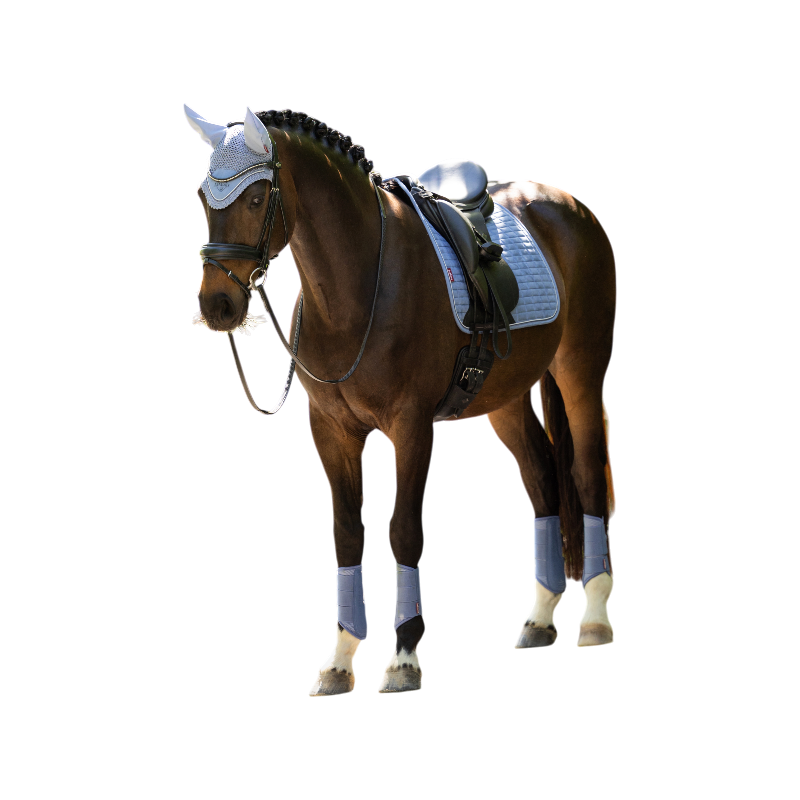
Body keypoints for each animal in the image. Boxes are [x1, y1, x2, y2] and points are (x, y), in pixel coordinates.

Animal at [187, 105, 617, 696]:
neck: (360, 282)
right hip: (504, 400)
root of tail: (570, 207)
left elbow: (403, 530)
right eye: (204, 197)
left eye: (254, 199)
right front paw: (339, 660)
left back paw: (594, 616)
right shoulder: (331, 431)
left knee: (588, 474)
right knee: (540, 481)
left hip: (579, 369)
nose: (218, 305)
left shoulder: (411, 427)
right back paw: (540, 617)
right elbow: (347, 533)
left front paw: (404, 657)